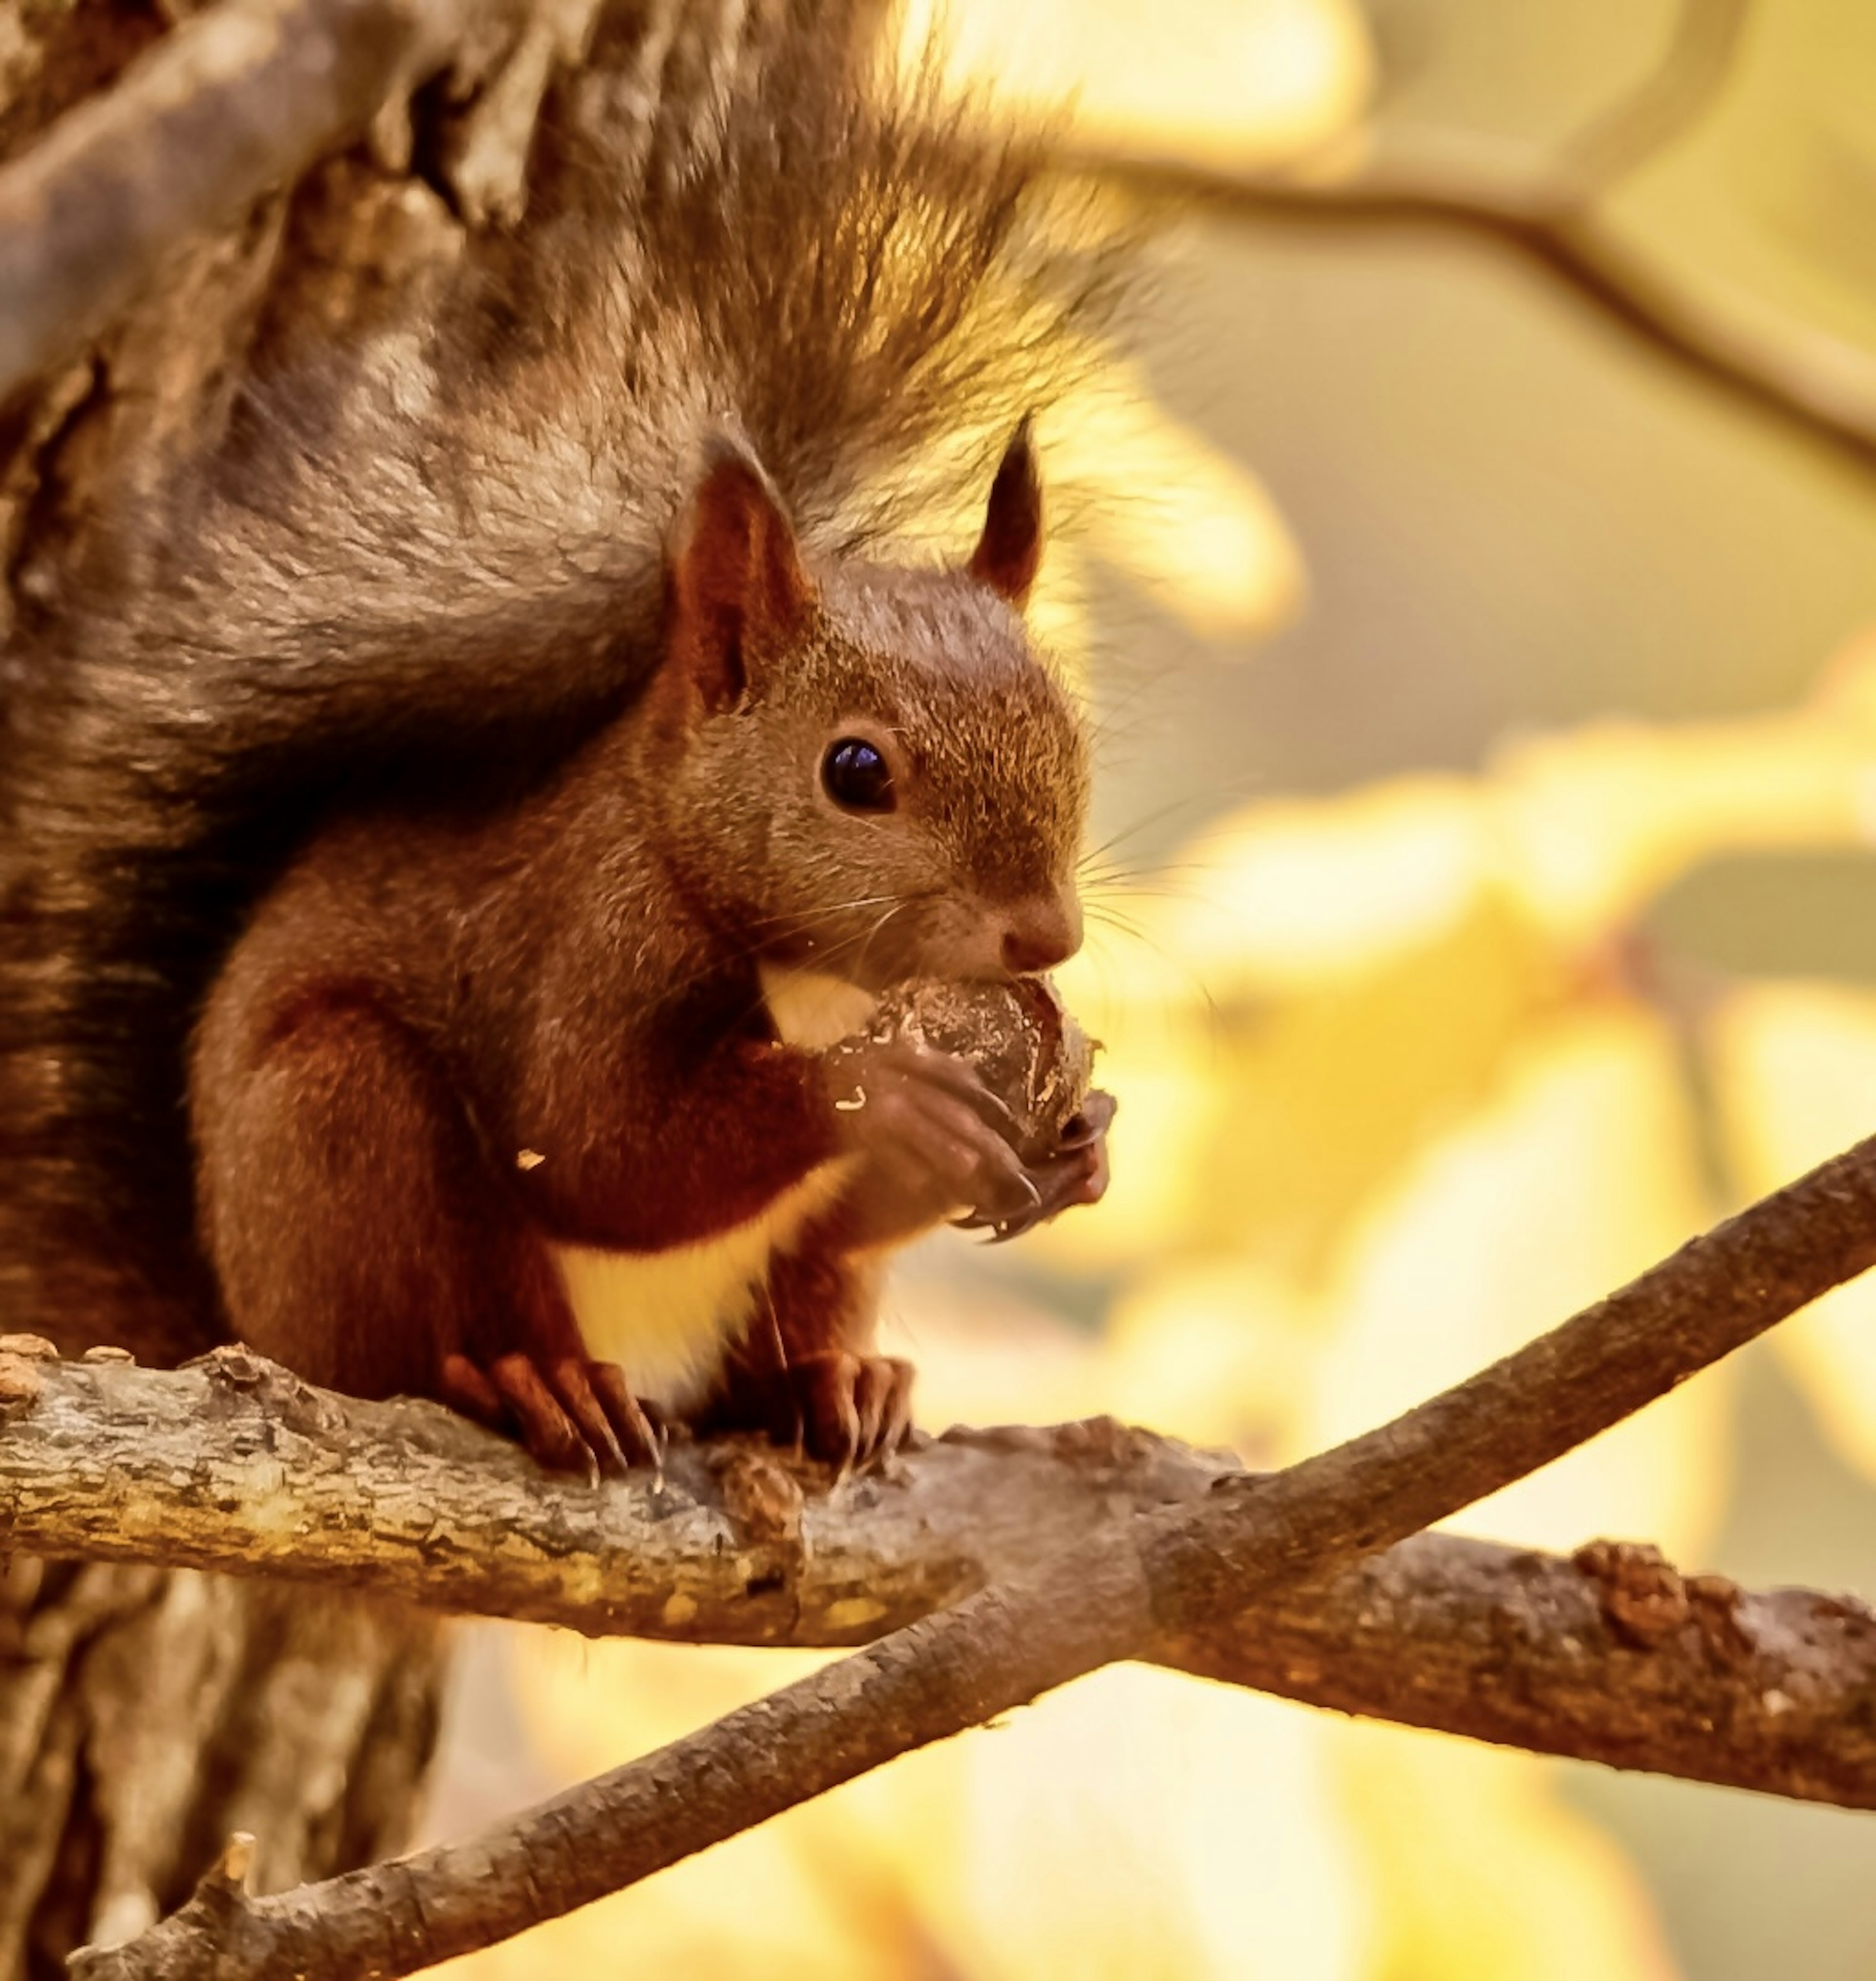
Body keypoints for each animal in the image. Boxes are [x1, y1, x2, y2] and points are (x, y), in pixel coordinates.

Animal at [0, 0, 1117, 1474]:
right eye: (855, 771)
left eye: (1071, 731)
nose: (1044, 936)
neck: (809, 967)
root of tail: (234, 1312)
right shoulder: (588, 943)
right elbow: (604, 1147)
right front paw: (879, 1092)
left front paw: (1083, 1137)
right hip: (341, 1131)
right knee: (414, 1335)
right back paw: (530, 1381)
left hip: (777, 1281)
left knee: (804, 1296)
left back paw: (834, 1382)